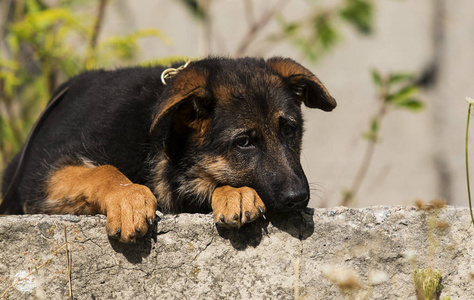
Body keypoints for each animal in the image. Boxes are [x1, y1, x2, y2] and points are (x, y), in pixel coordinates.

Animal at [0, 57, 336, 243]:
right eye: (244, 142)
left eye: (289, 130)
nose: (298, 198)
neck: (162, 137)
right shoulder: (42, 180)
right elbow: (103, 170)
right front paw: (129, 198)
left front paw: (233, 192)